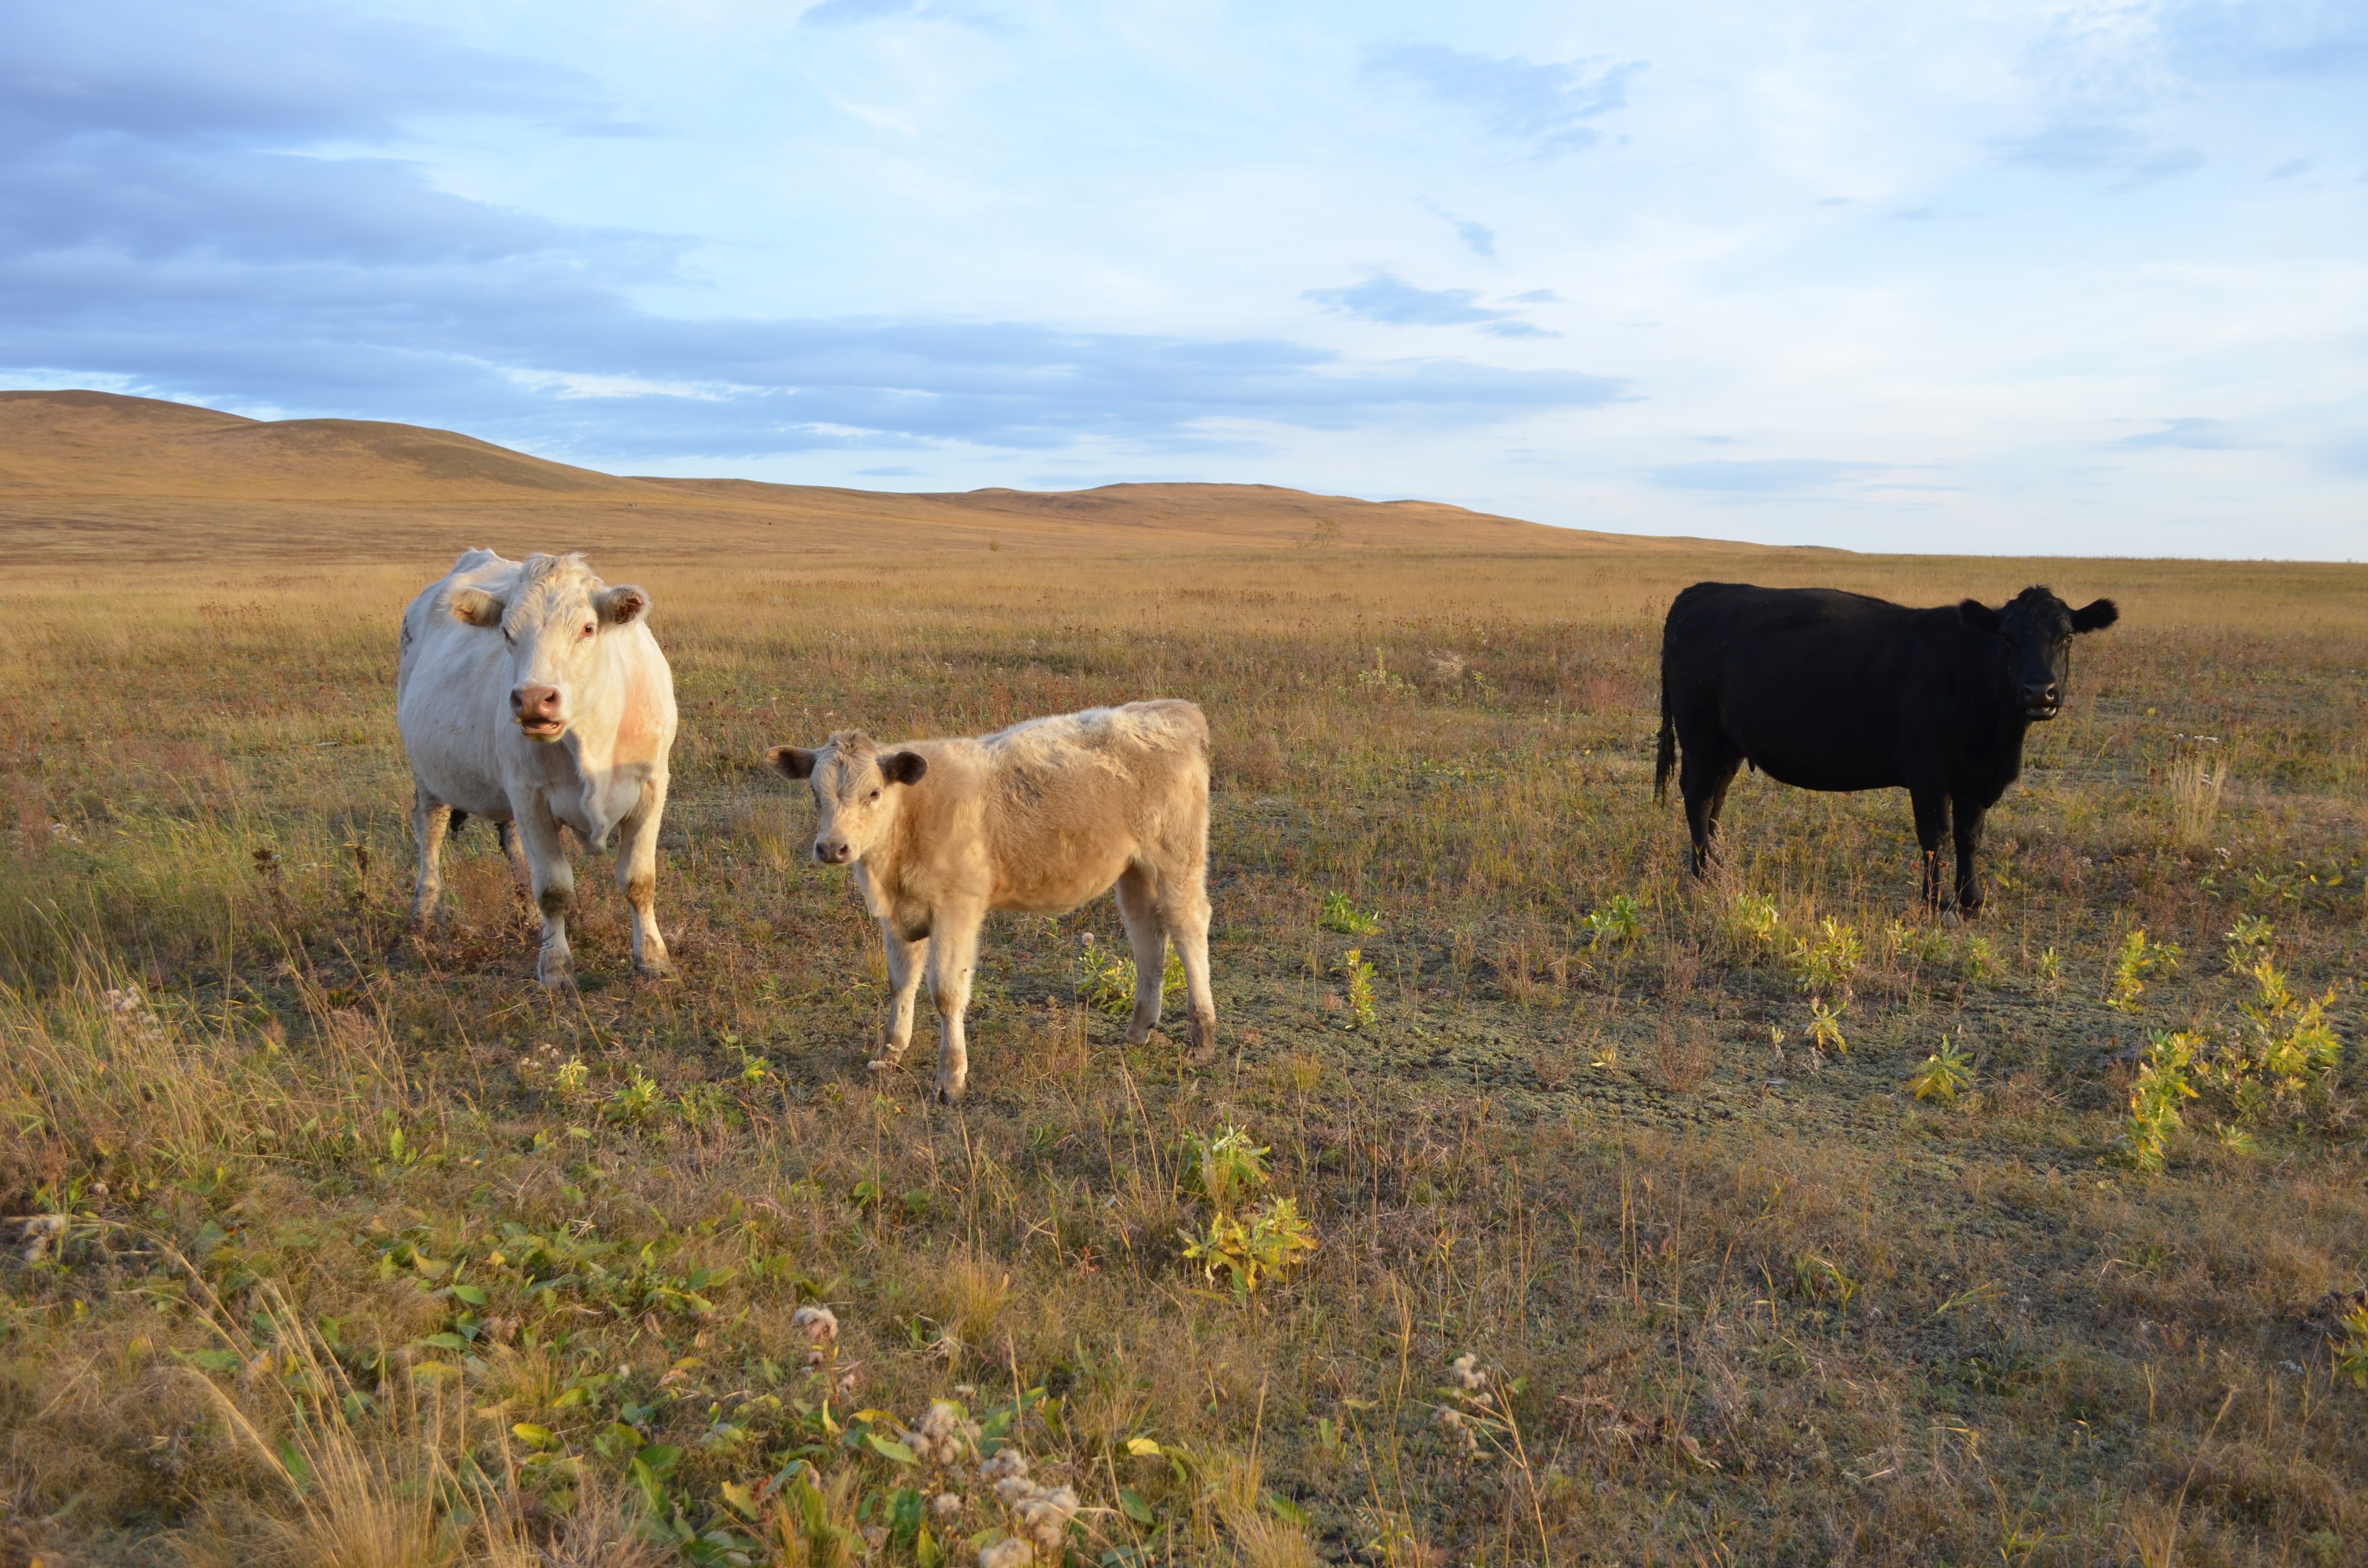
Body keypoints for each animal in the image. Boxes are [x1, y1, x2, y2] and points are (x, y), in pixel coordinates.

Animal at [395, 549, 677, 985]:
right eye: (508, 633)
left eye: (588, 628)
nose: (533, 699)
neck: (591, 737)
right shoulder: (531, 798)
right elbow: (554, 890)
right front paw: (556, 967)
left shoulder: (651, 787)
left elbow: (639, 880)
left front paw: (653, 957)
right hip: (429, 775)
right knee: (431, 832)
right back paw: (425, 913)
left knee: (511, 845)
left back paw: (526, 916)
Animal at [772, 701, 1221, 1103]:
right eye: (814, 793)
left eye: (874, 792)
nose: (833, 848)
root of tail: (1173, 708)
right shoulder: (898, 916)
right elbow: (901, 983)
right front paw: (889, 1053)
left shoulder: (957, 910)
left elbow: (946, 991)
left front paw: (951, 1077)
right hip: (1135, 871)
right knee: (1148, 936)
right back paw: (1139, 1029)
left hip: (1177, 860)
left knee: (1188, 927)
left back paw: (1202, 1037)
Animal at [1657, 582, 2121, 914]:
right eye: (2006, 639)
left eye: (2067, 638)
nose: (2040, 692)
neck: (1997, 741)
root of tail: (1701, 591)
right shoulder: (1928, 772)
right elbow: (1937, 836)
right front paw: (1937, 904)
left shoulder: (1976, 778)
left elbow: (1970, 837)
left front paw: (1972, 900)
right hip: (1700, 732)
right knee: (1698, 796)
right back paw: (1703, 873)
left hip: (1728, 743)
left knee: (1716, 798)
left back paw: (1714, 866)